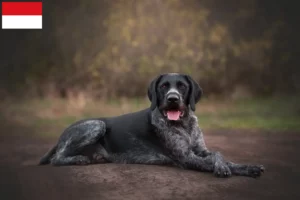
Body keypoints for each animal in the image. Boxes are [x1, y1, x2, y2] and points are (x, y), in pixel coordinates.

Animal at [39, 73, 264, 178]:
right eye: (164, 86)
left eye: (182, 86)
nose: (173, 99)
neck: (184, 124)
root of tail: (62, 134)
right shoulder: (186, 158)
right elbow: (212, 161)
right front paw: (225, 169)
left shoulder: (201, 150)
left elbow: (219, 155)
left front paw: (246, 167)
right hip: (97, 124)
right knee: (57, 158)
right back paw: (77, 159)